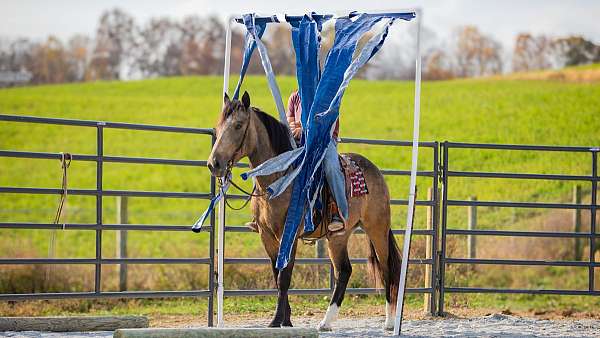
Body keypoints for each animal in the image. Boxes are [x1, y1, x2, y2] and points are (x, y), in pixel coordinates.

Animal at [207, 91, 404, 332]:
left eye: (238, 125)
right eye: (219, 125)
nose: (214, 164)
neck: (280, 179)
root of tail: (375, 171)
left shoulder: (288, 234)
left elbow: (284, 277)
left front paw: (276, 321)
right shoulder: (266, 236)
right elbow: (276, 273)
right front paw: (287, 319)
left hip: (377, 228)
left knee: (386, 268)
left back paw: (390, 321)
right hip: (338, 236)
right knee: (344, 271)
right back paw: (326, 322)